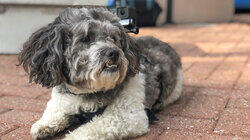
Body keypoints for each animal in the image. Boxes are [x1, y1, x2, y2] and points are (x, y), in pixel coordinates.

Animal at [18, 6, 183, 140]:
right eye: (85, 38)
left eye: (114, 38)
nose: (113, 53)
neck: (88, 91)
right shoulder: (62, 100)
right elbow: (55, 111)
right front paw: (43, 125)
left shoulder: (128, 116)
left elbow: (93, 126)